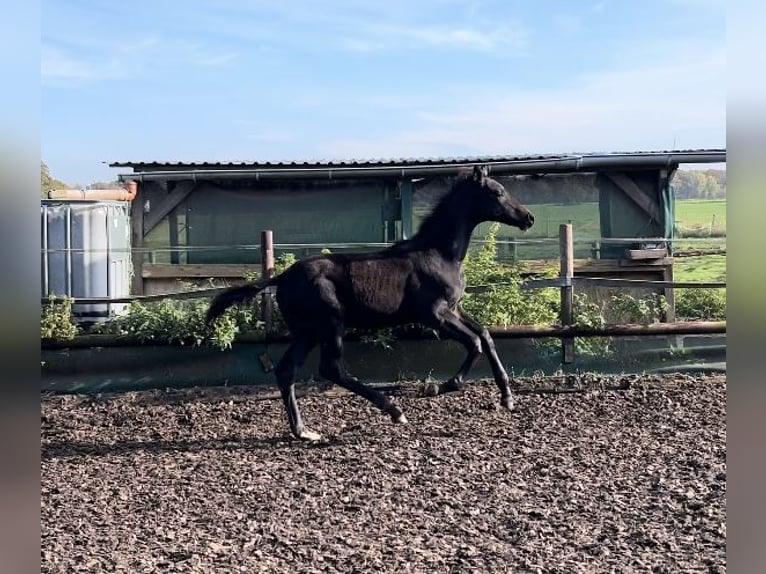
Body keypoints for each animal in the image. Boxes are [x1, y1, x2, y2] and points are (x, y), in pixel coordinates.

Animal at [207, 166, 536, 440]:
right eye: (498, 192)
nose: (528, 218)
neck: (439, 253)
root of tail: (282, 277)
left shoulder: (454, 308)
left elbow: (486, 335)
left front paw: (506, 397)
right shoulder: (434, 314)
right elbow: (474, 343)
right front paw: (438, 387)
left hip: (308, 332)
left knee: (287, 371)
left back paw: (304, 432)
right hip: (330, 326)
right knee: (330, 368)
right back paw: (393, 410)